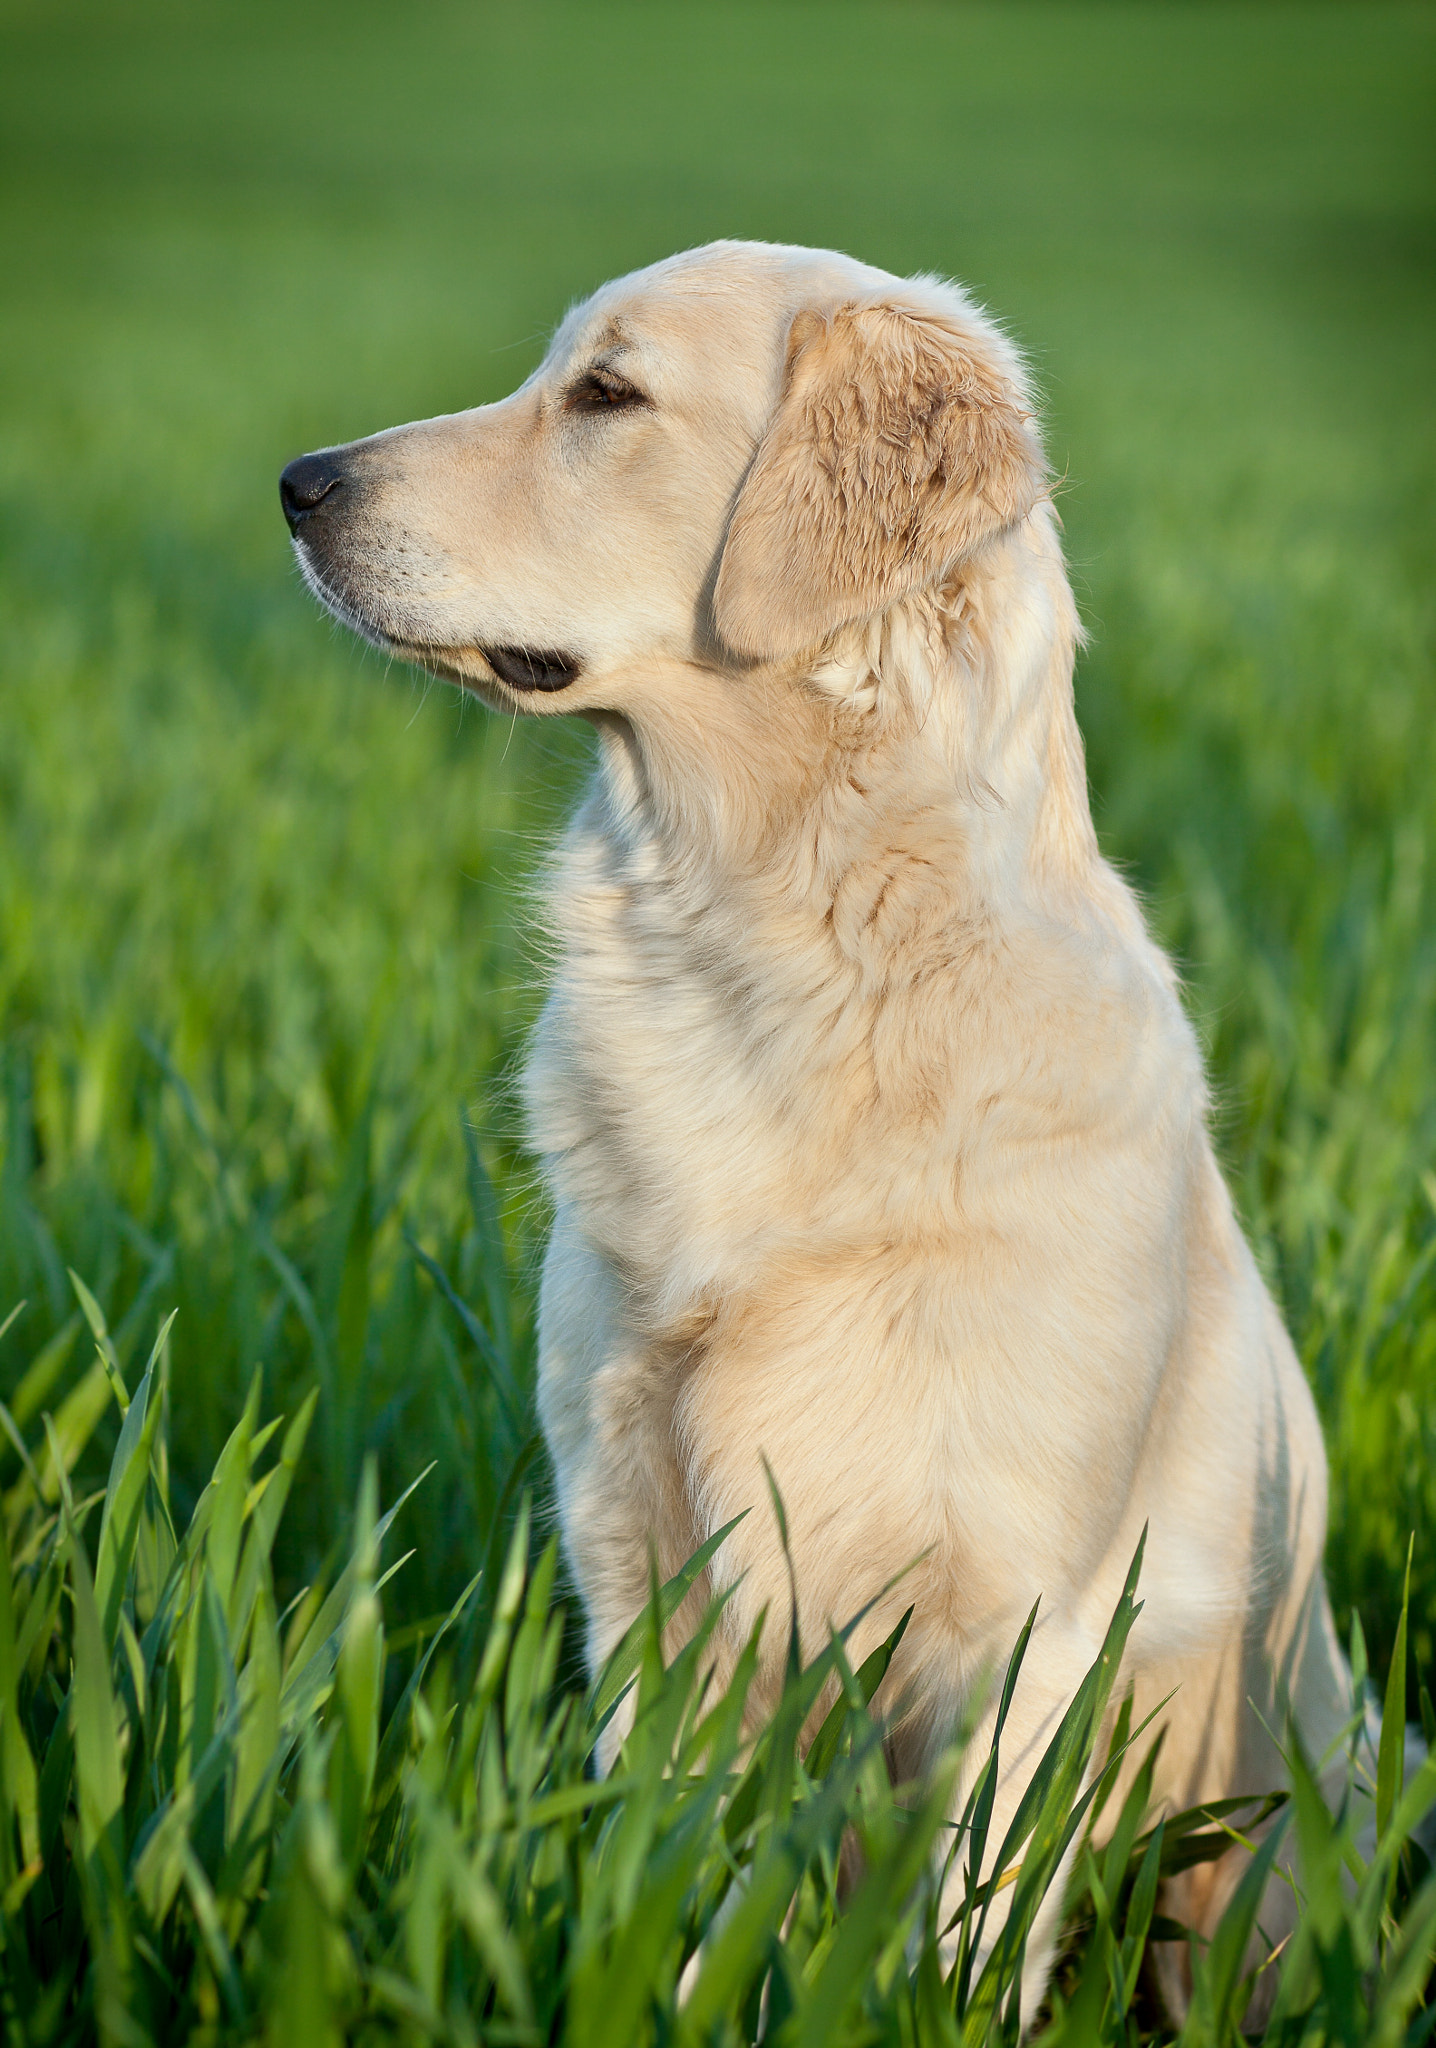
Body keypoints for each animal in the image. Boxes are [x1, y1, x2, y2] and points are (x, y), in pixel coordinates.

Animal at [280, 243, 1352, 2015]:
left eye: (607, 395)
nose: (301, 483)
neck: (788, 948)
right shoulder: (636, 1554)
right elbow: (674, 1891)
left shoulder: (1025, 1615)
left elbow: (968, 1929)